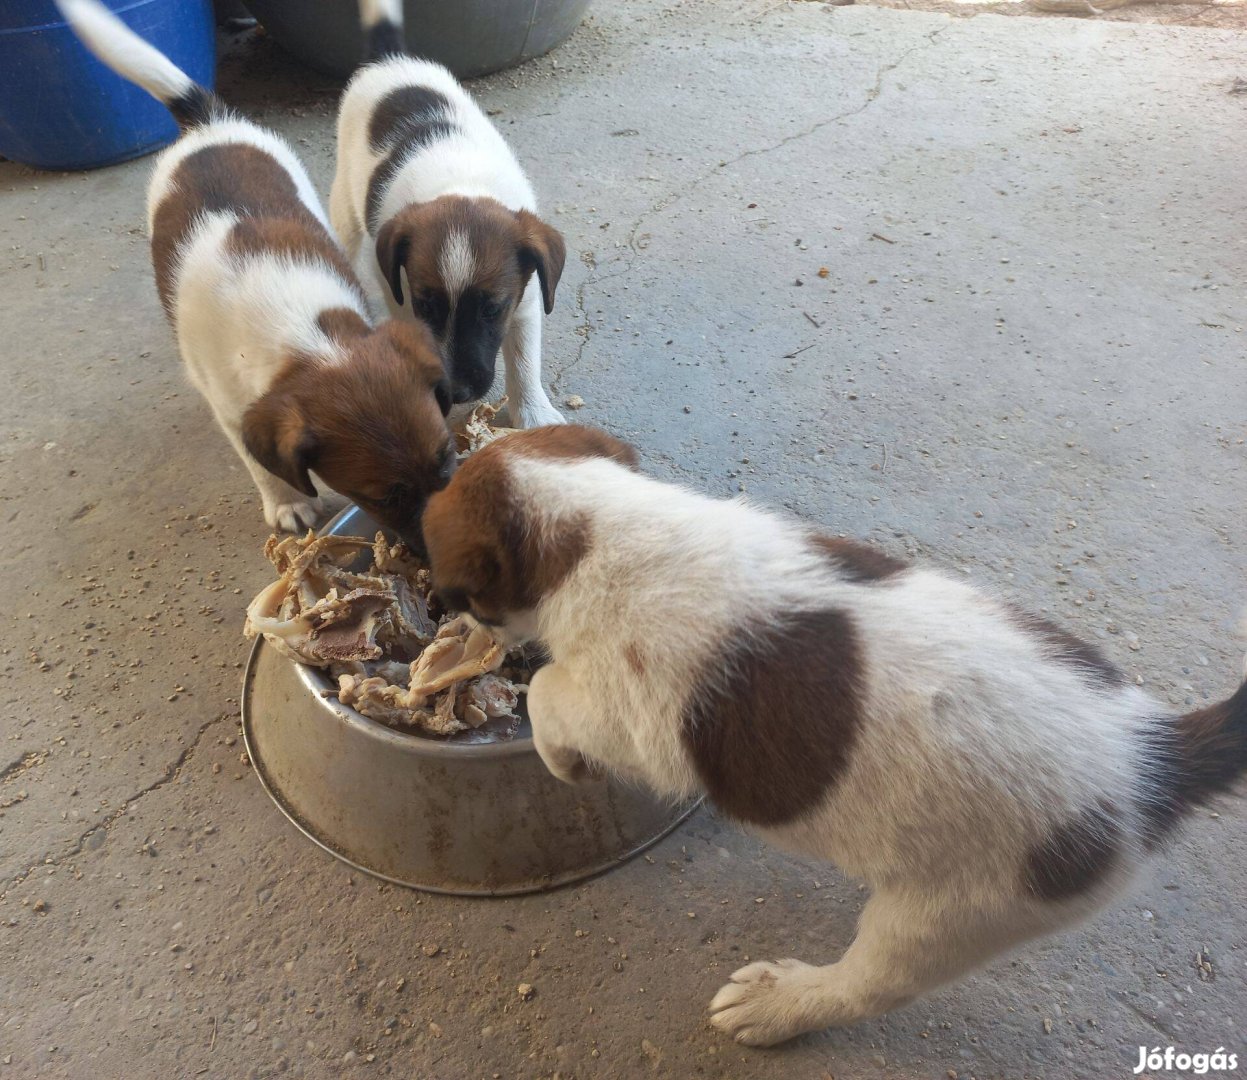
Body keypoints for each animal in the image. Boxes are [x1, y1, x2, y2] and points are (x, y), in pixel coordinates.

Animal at [58, 0, 456, 543]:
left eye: (448, 456)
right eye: (381, 497)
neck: (308, 333)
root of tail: (208, 123)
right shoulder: (232, 408)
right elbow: (260, 465)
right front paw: (286, 502)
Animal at [329, 0, 568, 426]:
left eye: (491, 309)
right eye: (427, 306)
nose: (456, 393)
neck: (461, 182)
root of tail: (391, 59)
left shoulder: (524, 302)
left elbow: (524, 360)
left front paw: (534, 414)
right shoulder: (401, 296)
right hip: (345, 207)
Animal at [421, 424, 1247, 1042]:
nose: (444, 612)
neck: (597, 527)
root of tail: (1156, 757)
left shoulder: (628, 713)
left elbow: (551, 697)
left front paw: (563, 760)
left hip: (958, 908)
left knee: (868, 985)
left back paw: (775, 1004)